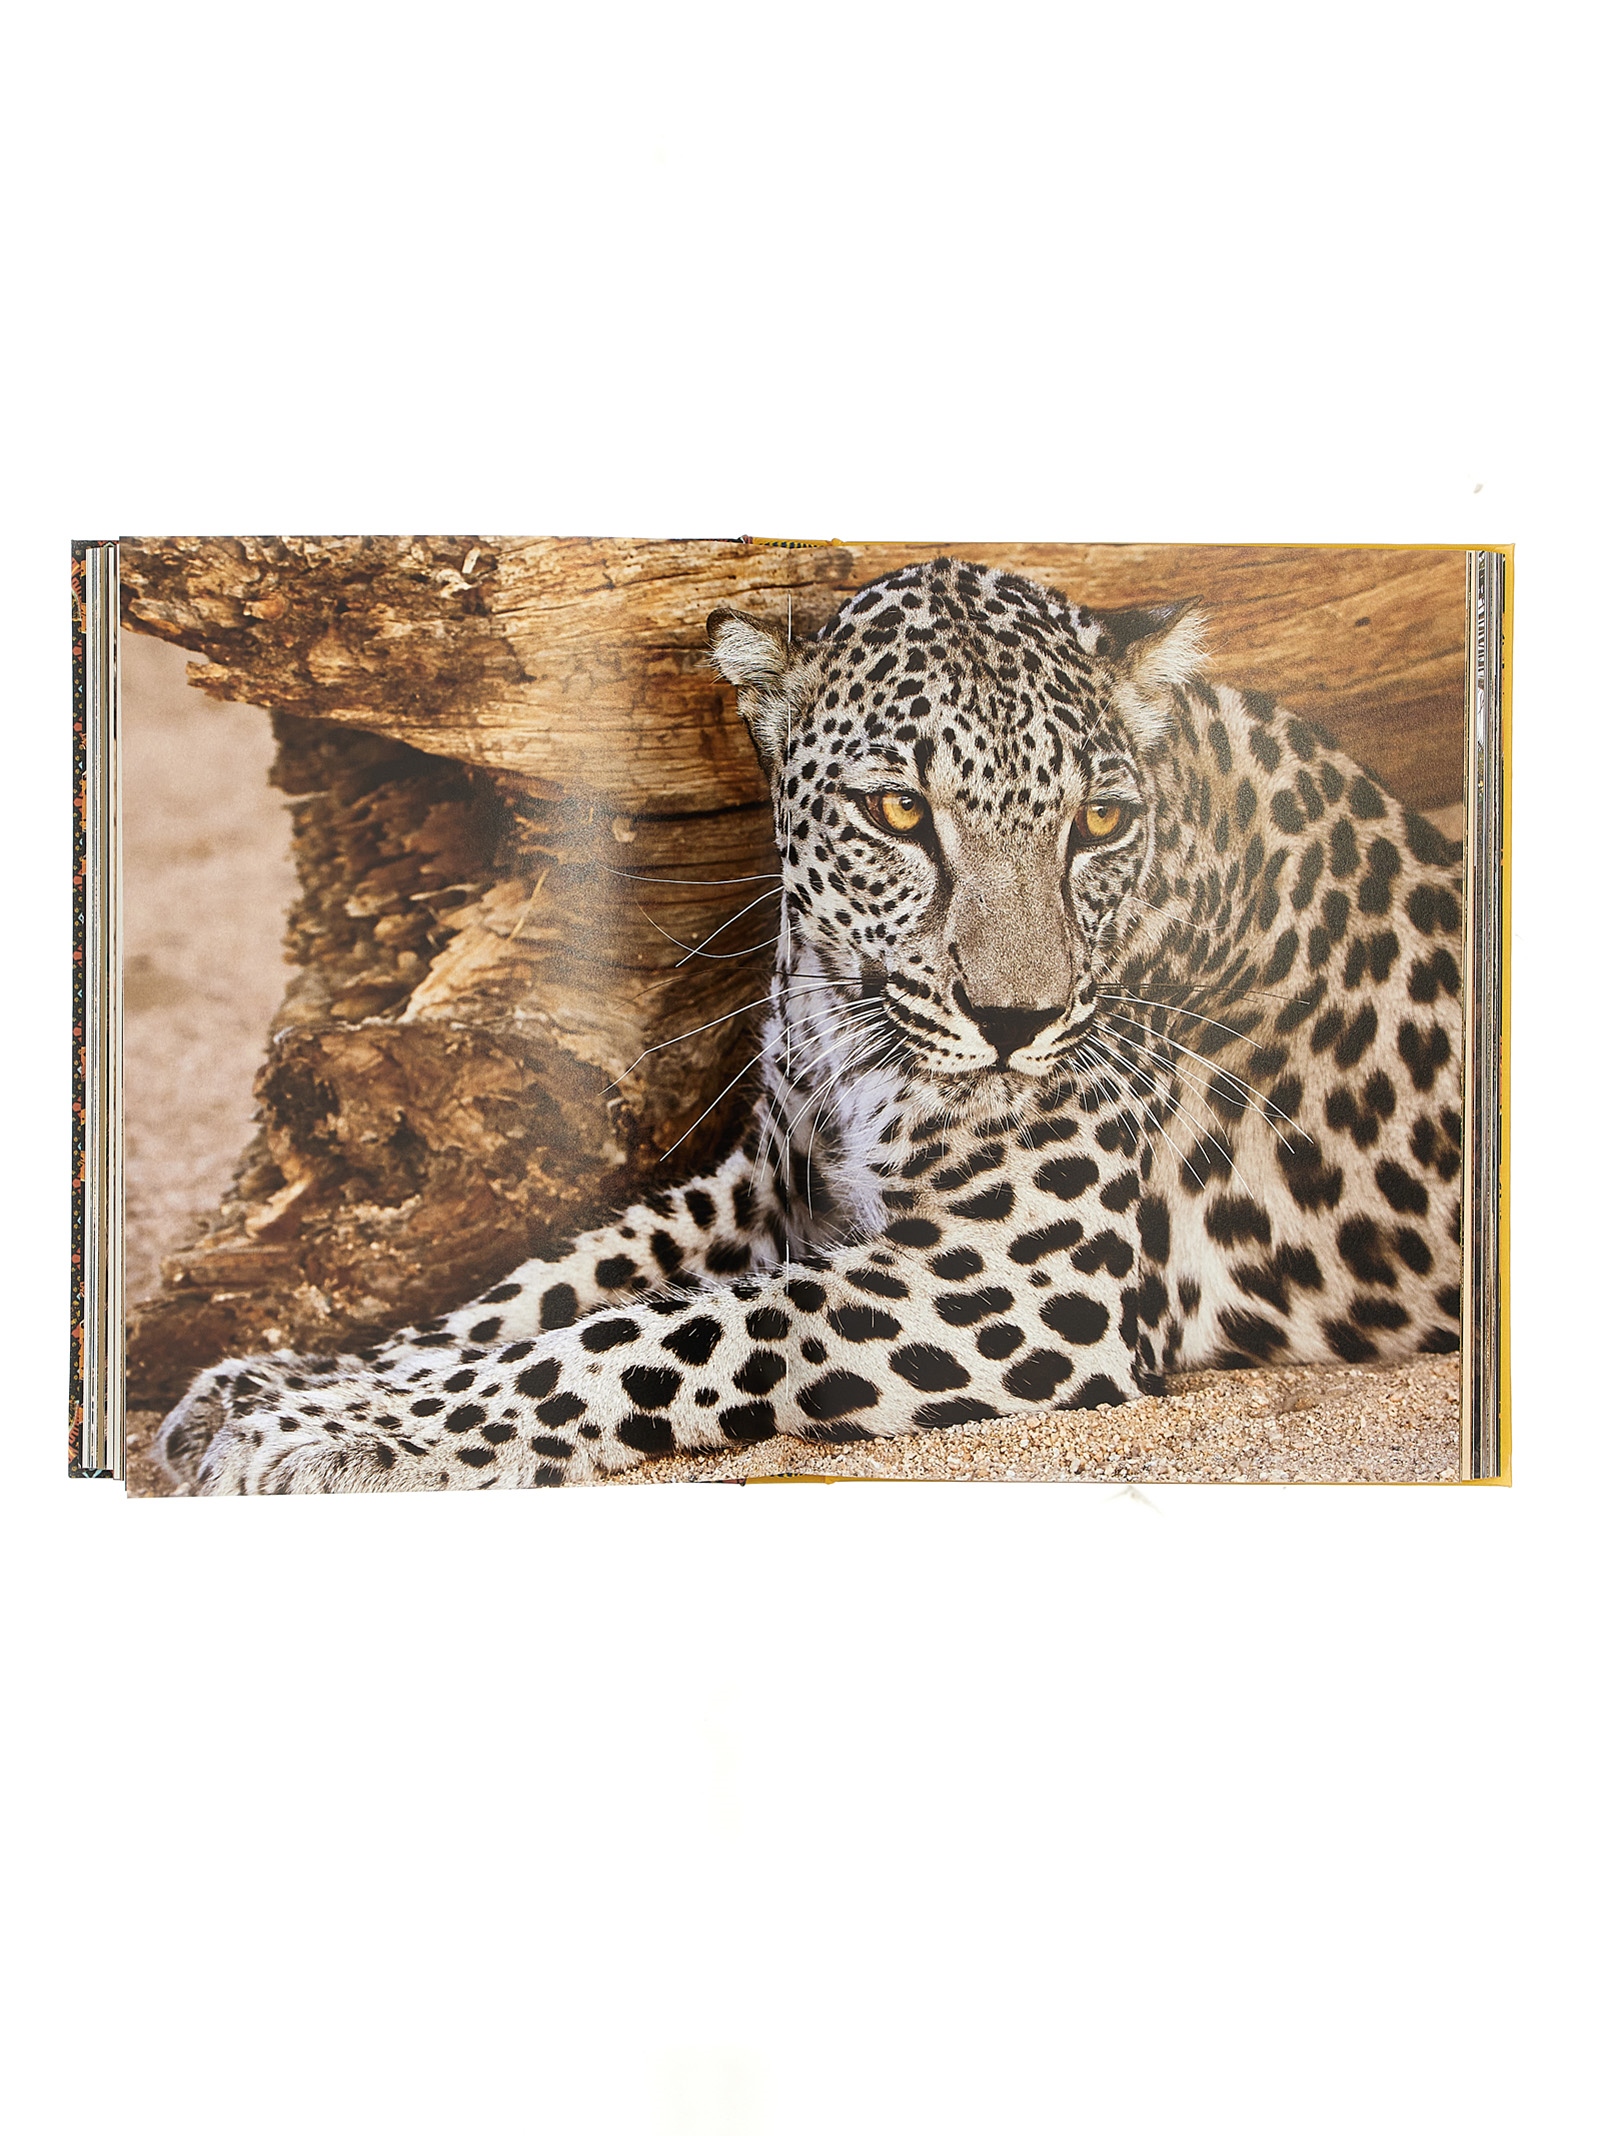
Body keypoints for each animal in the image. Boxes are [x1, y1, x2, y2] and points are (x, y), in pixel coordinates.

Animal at [155, 557, 1464, 1493]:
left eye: (1097, 823)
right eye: (898, 813)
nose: (1017, 1023)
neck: (848, 1019)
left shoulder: (1017, 1276)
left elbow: (641, 1335)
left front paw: (326, 1429)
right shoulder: (764, 1182)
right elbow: (546, 1283)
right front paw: (277, 1380)